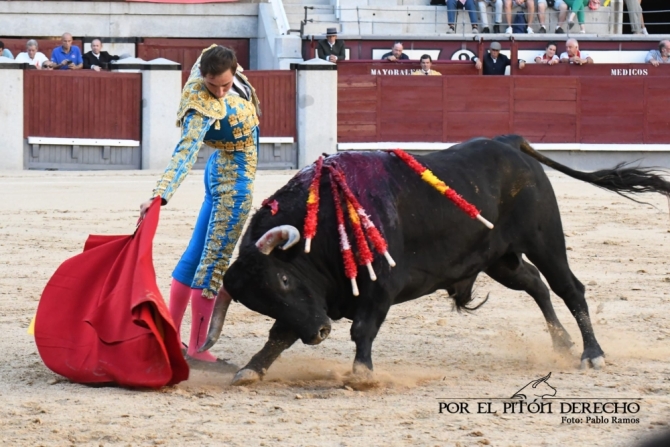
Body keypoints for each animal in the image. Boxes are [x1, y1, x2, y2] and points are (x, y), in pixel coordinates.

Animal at [200, 136, 670, 384]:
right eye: (259, 303)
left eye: (281, 282)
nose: (318, 334)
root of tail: (508, 143)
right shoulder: (314, 301)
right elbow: (280, 334)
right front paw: (252, 370)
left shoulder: (380, 286)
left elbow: (361, 329)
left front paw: (361, 374)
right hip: (501, 259)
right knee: (535, 283)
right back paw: (561, 343)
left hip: (545, 239)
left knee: (569, 287)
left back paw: (592, 353)